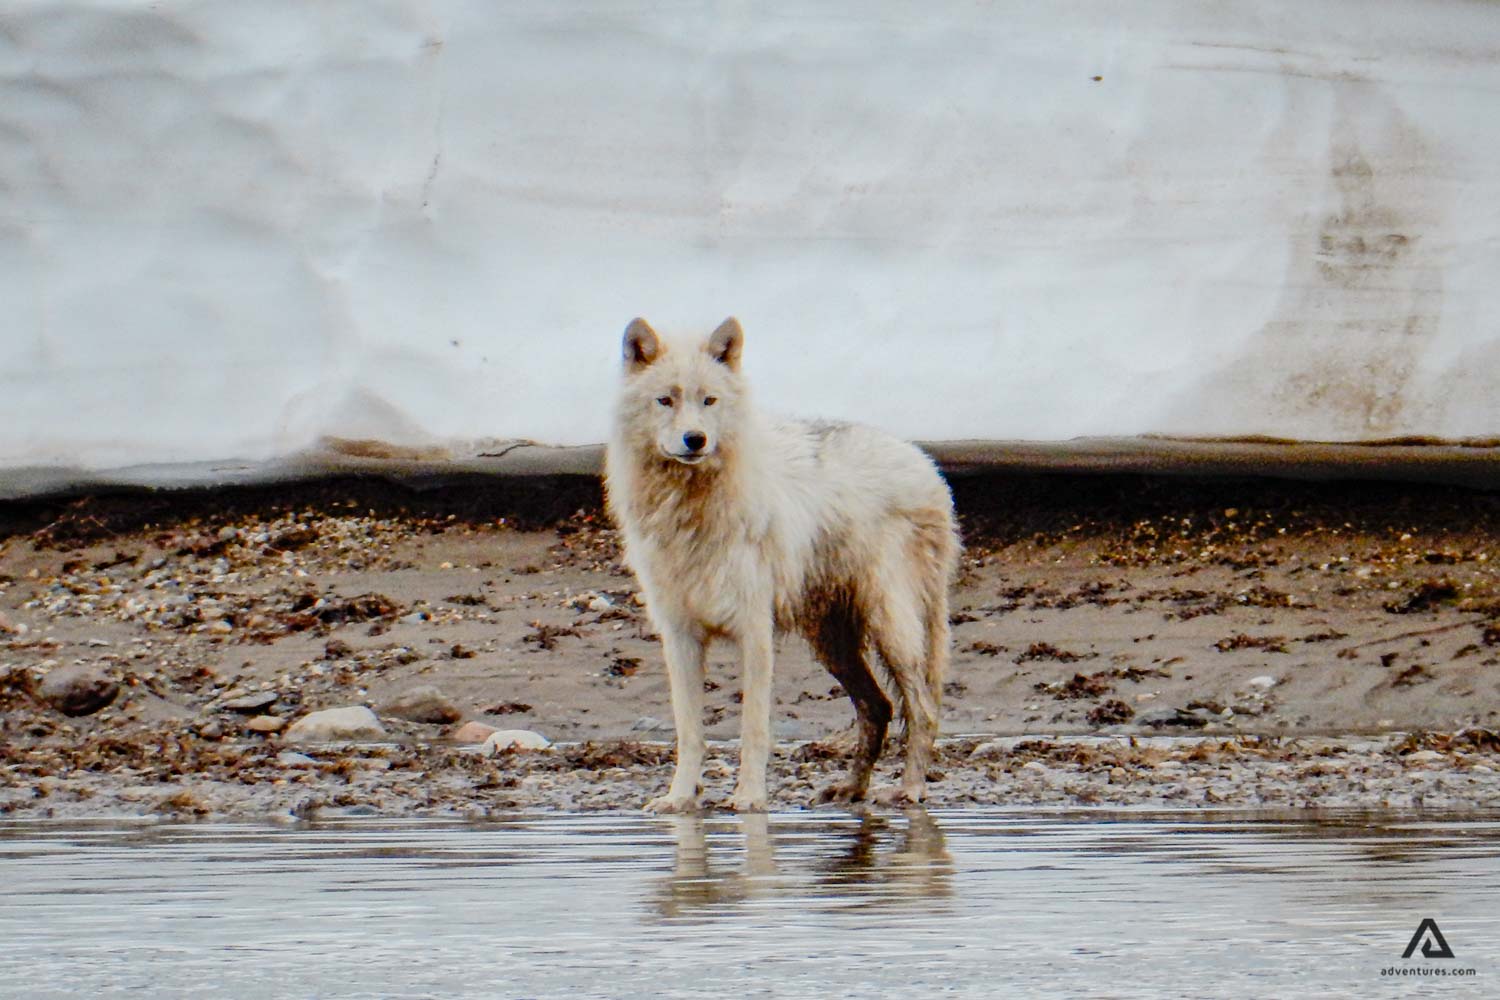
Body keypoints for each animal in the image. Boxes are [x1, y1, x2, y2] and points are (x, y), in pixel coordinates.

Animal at [604, 317, 960, 813]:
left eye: (709, 400)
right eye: (666, 400)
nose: (695, 440)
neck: (692, 508)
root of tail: (927, 465)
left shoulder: (755, 632)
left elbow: (754, 727)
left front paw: (750, 798)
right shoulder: (680, 638)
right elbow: (689, 732)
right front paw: (678, 799)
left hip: (890, 626)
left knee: (922, 708)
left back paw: (909, 789)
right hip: (832, 642)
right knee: (878, 708)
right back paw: (851, 789)